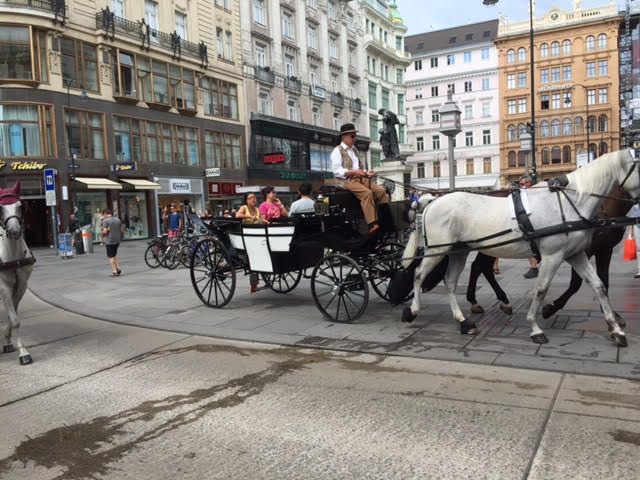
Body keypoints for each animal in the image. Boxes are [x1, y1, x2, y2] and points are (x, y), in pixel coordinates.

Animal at [401, 149, 640, 346]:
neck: (568, 201)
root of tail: (431, 201)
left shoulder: (576, 254)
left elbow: (599, 285)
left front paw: (615, 329)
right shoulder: (553, 256)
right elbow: (542, 289)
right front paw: (536, 326)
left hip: (459, 250)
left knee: (451, 281)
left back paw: (463, 321)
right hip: (437, 250)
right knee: (419, 274)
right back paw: (413, 310)